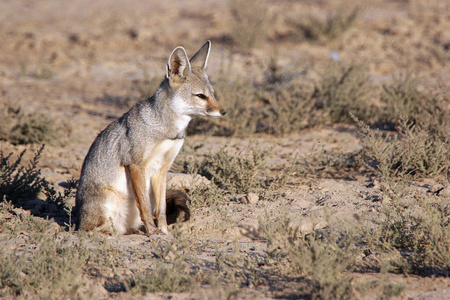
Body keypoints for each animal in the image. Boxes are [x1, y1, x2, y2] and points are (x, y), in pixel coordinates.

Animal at [76, 41, 229, 236]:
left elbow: (161, 208)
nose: (223, 111)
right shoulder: (135, 165)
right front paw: (153, 232)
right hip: (105, 203)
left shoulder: (162, 169)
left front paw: (164, 232)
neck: (168, 130)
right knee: (92, 230)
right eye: (201, 96)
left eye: (213, 94)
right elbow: (146, 207)